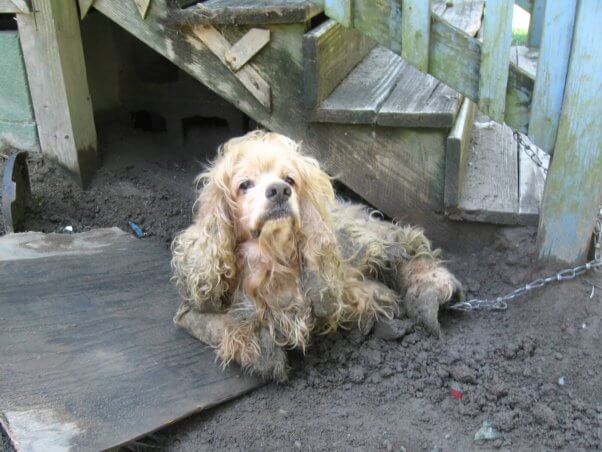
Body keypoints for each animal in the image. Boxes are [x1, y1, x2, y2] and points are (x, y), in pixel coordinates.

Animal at [171, 132, 462, 382]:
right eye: (244, 185)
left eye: (289, 179)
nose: (279, 190)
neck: (272, 257)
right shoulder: (191, 310)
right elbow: (224, 325)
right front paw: (264, 349)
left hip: (359, 240)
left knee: (404, 243)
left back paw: (429, 293)